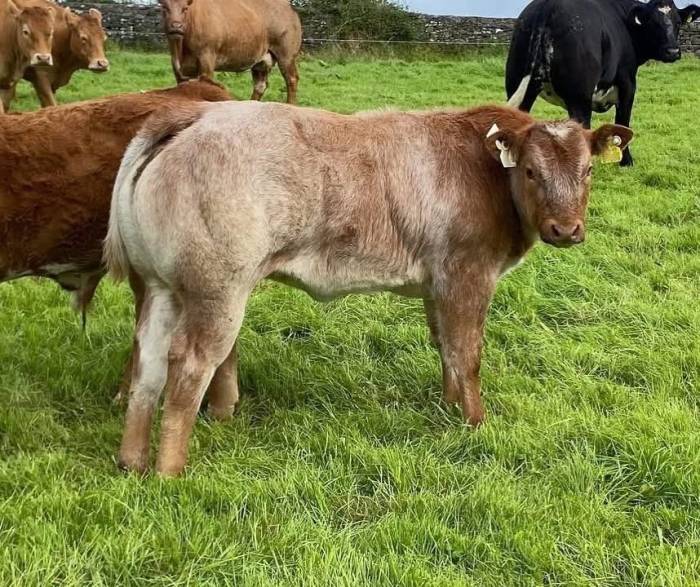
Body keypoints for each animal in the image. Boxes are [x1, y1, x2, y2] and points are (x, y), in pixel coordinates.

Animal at [105, 100, 633, 476]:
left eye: (588, 170)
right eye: (529, 170)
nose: (566, 229)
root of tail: (195, 115)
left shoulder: (437, 282)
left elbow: (444, 346)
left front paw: (448, 406)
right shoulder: (468, 272)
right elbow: (467, 353)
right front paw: (475, 423)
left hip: (161, 287)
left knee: (148, 363)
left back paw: (132, 460)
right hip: (218, 290)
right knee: (189, 366)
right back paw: (170, 471)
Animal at [158, 0, 302, 103]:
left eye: (185, 8)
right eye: (164, 7)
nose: (176, 26)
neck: (180, 49)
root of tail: (288, 6)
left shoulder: (206, 59)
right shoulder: (177, 67)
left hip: (286, 55)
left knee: (291, 79)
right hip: (262, 60)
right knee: (260, 85)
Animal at [506, 0, 700, 166]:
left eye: (678, 22)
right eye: (652, 22)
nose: (672, 51)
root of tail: (548, 6)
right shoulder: (627, 83)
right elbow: (623, 122)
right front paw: (626, 161)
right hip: (579, 97)